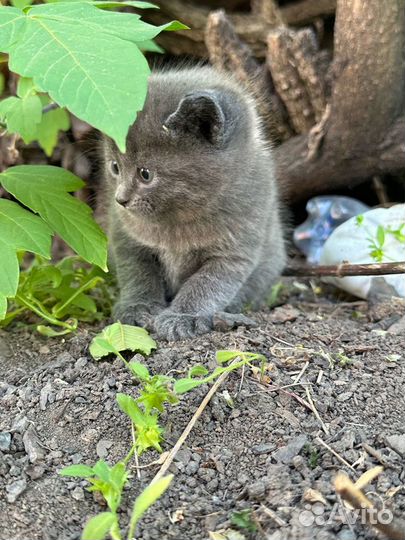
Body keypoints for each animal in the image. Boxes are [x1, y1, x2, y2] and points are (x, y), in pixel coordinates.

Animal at [101, 65, 284, 340]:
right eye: (115, 167)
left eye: (145, 174)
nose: (120, 199)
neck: (176, 220)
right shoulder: (126, 239)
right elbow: (137, 274)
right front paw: (138, 307)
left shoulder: (234, 253)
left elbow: (206, 284)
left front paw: (183, 317)